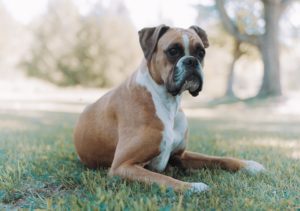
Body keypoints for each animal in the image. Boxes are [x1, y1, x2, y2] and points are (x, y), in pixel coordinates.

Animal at [73, 24, 264, 193]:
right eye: (173, 51)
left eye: (201, 52)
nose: (191, 61)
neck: (168, 102)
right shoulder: (122, 165)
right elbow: (163, 179)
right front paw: (193, 186)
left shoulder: (180, 156)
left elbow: (217, 159)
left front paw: (249, 165)